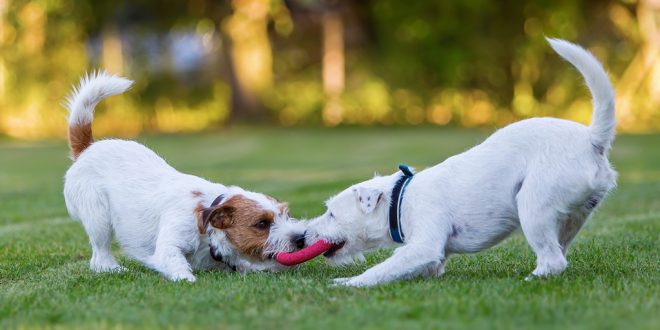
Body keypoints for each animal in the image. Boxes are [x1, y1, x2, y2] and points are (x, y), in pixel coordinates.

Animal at [64, 72, 306, 282]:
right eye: (262, 223)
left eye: (287, 214)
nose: (300, 238)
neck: (207, 226)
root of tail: (87, 148)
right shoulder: (169, 244)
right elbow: (174, 261)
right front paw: (186, 279)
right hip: (99, 219)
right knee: (99, 256)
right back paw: (113, 269)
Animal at [304, 38, 620, 286]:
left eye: (331, 213)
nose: (304, 234)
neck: (399, 199)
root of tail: (592, 139)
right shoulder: (430, 257)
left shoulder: (424, 245)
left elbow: (380, 270)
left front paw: (347, 283)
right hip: (571, 218)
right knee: (559, 254)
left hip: (533, 206)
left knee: (552, 260)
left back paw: (529, 280)